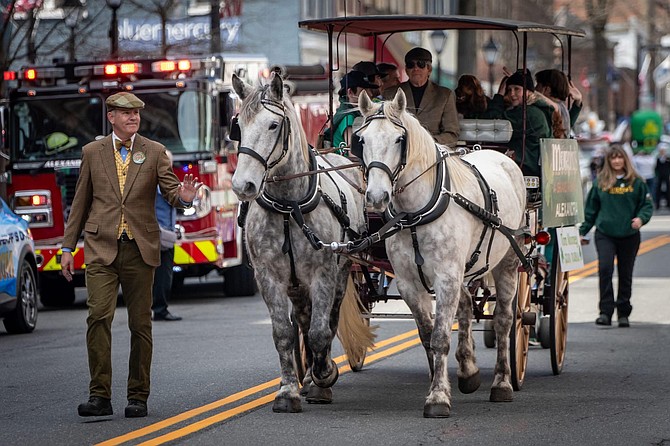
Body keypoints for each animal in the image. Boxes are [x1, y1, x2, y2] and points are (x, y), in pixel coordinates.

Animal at [234, 71, 376, 412]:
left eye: (273, 125)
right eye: (238, 126)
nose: (243, 185)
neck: (289, 207)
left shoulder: (324, 273)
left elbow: (320, 332)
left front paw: (325, 376)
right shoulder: (268, 276)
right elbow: (284, 333)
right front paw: (288, 391)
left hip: (342, 270)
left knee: (328, 320)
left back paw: (317, 374)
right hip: (296, 282)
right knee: (302, 317)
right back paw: (308, 374)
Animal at [356, 89, 532, 416]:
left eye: (399, 139)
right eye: (361, 139)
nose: (376, 196)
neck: (415, 213)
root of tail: (500, 155)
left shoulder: (446, 278)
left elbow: (439, 338)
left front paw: (437, 398)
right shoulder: (410, 283)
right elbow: (428, 336)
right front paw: (440, 384)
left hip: (509, 262)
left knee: (504, 320)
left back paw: (502, 383)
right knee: (465, 308)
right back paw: (468, 371)